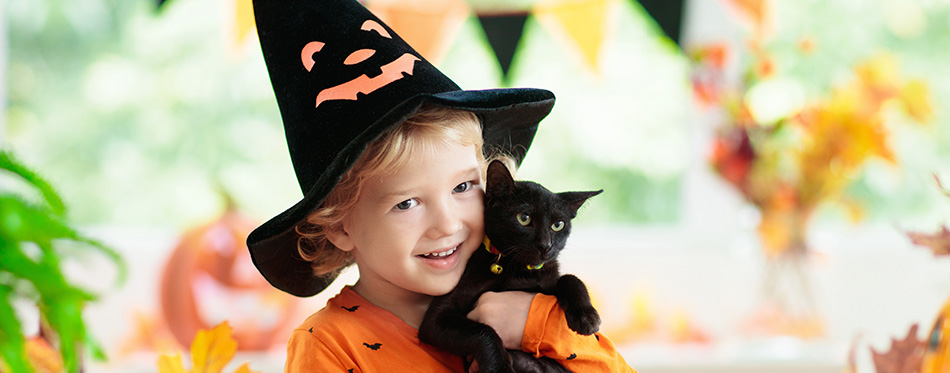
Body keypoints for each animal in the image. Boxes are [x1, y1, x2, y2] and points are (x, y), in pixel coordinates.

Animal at [422, 160, 608, 372]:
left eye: (558, 225)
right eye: (523, 218)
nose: (545, 245)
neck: (519, 269)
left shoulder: (549, 278)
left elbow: (570, 278)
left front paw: (586, 316)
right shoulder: (436, 319)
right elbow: (483, 331)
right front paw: (499, 367)